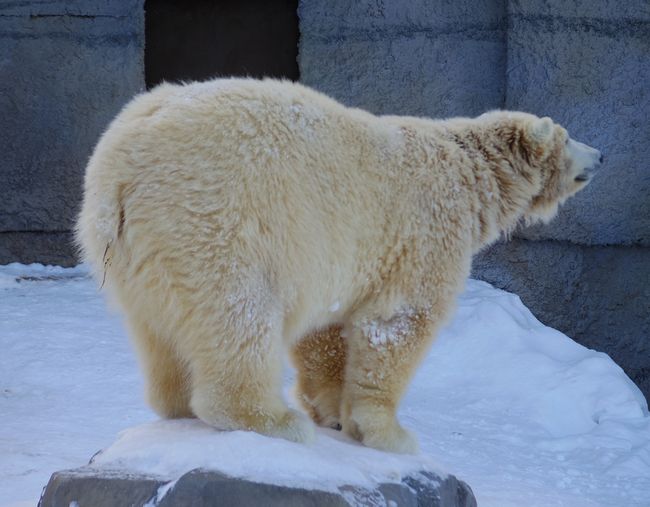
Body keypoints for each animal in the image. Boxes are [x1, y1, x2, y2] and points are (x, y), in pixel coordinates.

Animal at [78, 78, 600, 452]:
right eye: (568, 135)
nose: (600, 154)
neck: (470, 174)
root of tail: (119, 170)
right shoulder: (426, 231)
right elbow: (397, 323)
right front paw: (389, 434)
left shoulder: (337, 256)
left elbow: (324, 334)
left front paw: (330, 411)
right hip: (216, 218)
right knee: (239, 314)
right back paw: (273, 421)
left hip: (134, 254)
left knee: (157, 329)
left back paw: (178, 403)